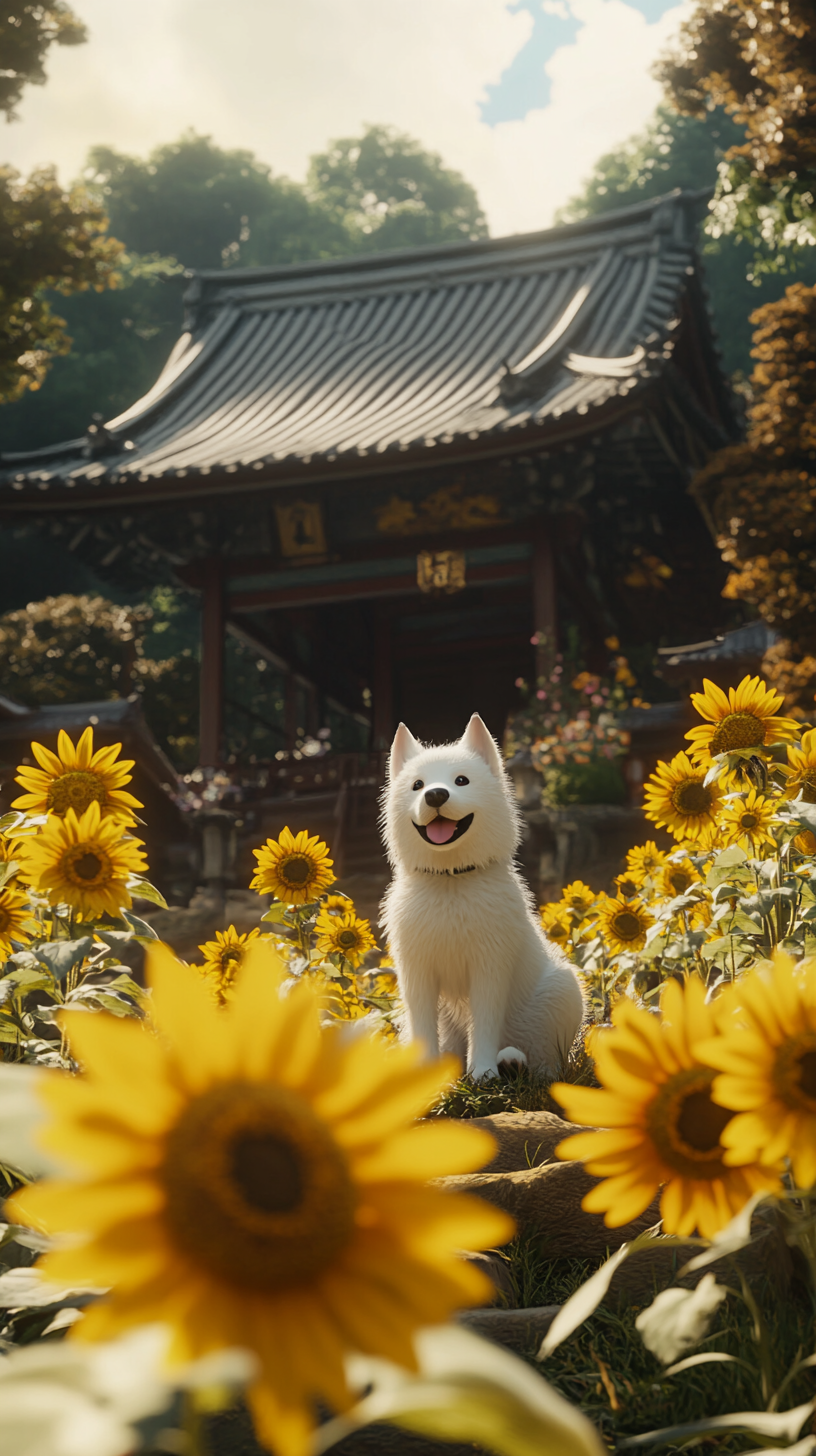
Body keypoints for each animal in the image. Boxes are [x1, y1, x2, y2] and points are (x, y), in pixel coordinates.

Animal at [378, 710, 582, 1077]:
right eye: (417, 785)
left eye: (461, 780)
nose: (435, 795)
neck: (451, 881)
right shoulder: (415, 969)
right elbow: (423, 1024)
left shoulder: (490, 966)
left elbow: (485, 1022)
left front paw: (483, 1073)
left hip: (561, 993)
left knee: (546, 1063)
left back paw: (512, 1062)